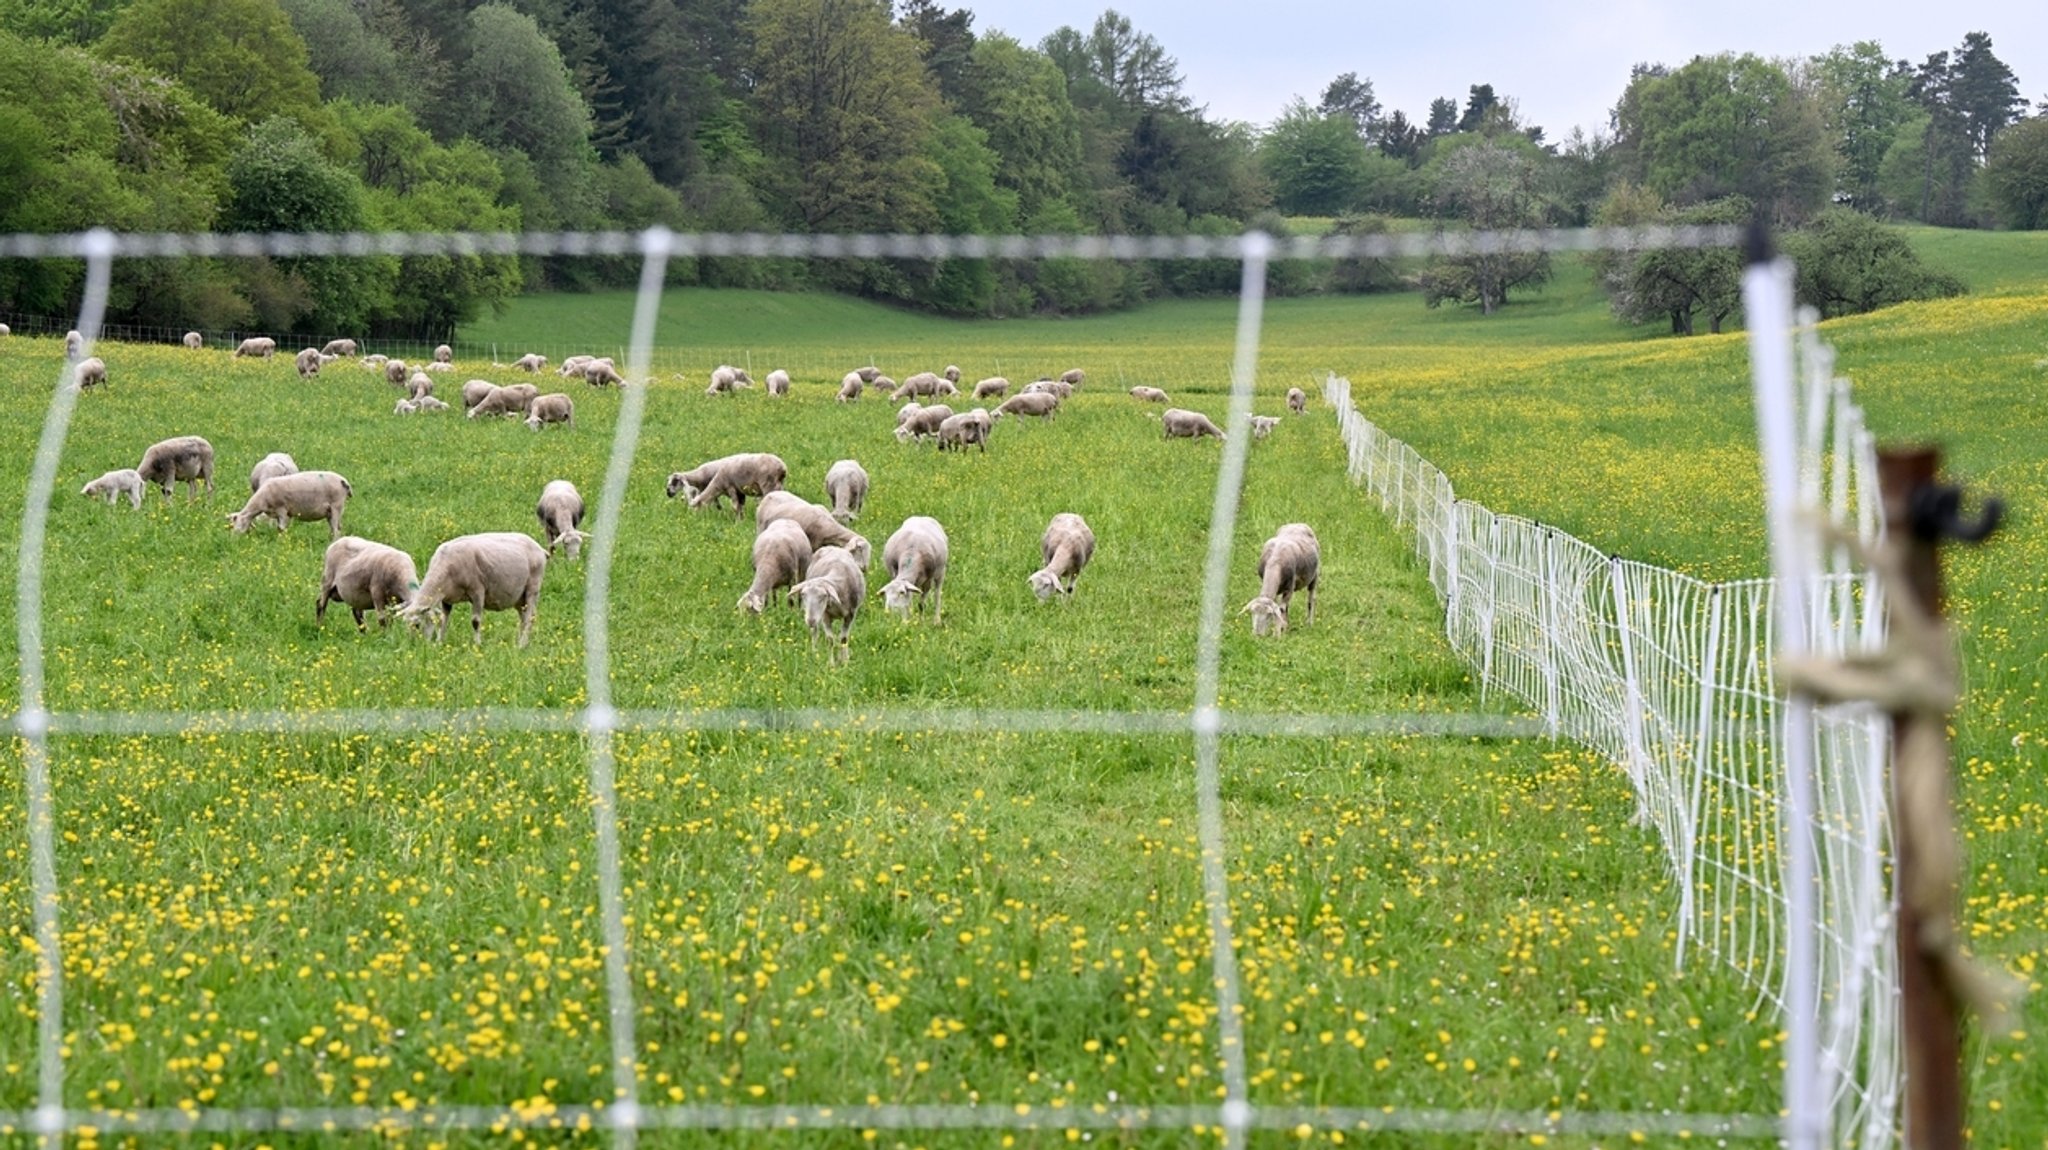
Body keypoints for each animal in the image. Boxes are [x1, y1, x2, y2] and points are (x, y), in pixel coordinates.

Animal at [395, 532, 544, 646]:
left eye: (416, 624)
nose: (412, 645)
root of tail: (540, 549)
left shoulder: (477, 591)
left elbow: (475, 622)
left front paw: (477, 645)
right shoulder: (447, 598)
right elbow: (443, 620)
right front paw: (438, 643)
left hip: (532, 588)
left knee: (529, 617)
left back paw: (521, 645)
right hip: (519, 598)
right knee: (524, 618)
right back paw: (521, 642)